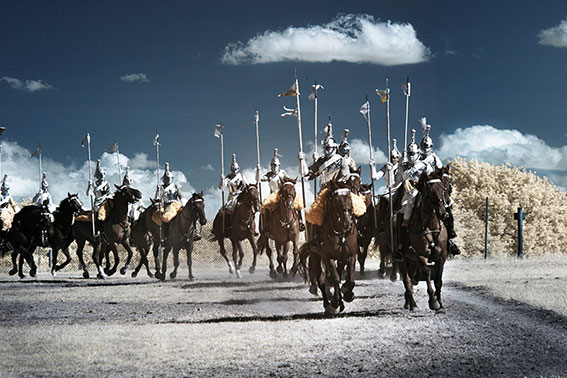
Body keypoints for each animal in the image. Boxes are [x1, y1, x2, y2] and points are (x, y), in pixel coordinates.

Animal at [300, 179, 358, 314]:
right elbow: (335, 278)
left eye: (350, 198)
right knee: (321, 279)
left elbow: (350, 278)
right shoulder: (327, 256)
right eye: (336, 200)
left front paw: (348, 294)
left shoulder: (351, 255)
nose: (347, 222)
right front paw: (335, 303)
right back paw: (328, 304)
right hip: (315, 255)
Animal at [400, 167, 452, 312]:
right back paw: (413, 304)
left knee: (410, 279)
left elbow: (438, 280)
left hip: (411, 260)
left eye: (444, 189)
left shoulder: (441, 256)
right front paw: (433, 302)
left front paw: (440, 304)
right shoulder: (421, 255)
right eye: (430, 191)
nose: (444, 213)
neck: (431, 226)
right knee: (407, 280)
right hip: (402, 259)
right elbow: (428, 273)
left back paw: (409, 303)